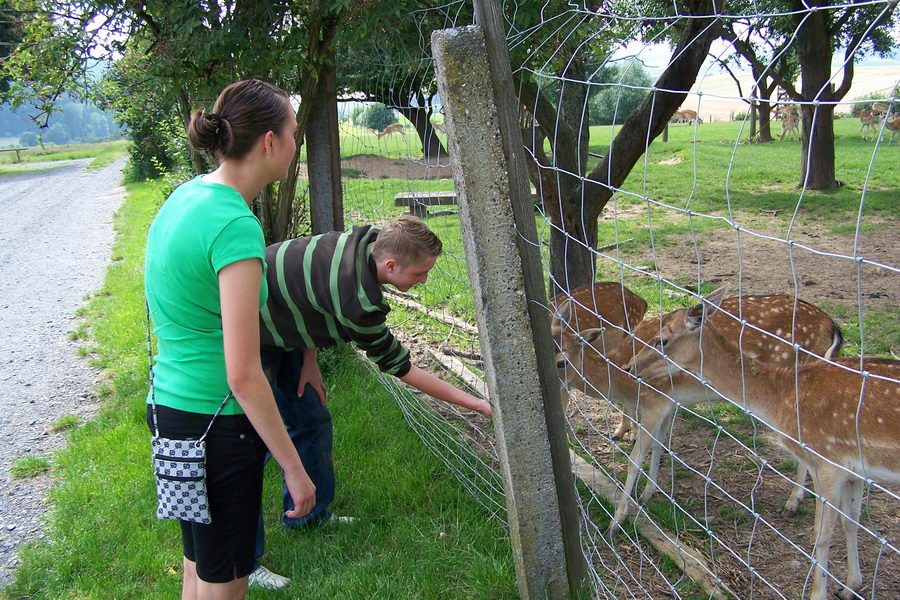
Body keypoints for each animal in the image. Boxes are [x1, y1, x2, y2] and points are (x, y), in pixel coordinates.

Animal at [564, 292, 844, 528]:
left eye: (561, 359)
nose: (631, 368)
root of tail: (832, 326)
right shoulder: (669, 402)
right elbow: (659, 446)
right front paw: (648, 493)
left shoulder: (655, 398)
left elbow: (638, 457)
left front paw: (619, 519)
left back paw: (792, 504)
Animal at [624, 290, 900, 600]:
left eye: (661, 340)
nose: (630, 366)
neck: (781, 398)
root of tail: (833, 325)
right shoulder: (856, 470)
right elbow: (851, 522)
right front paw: (851, 585)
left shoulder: (829, 461)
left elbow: (822, 535)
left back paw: (792, 503)